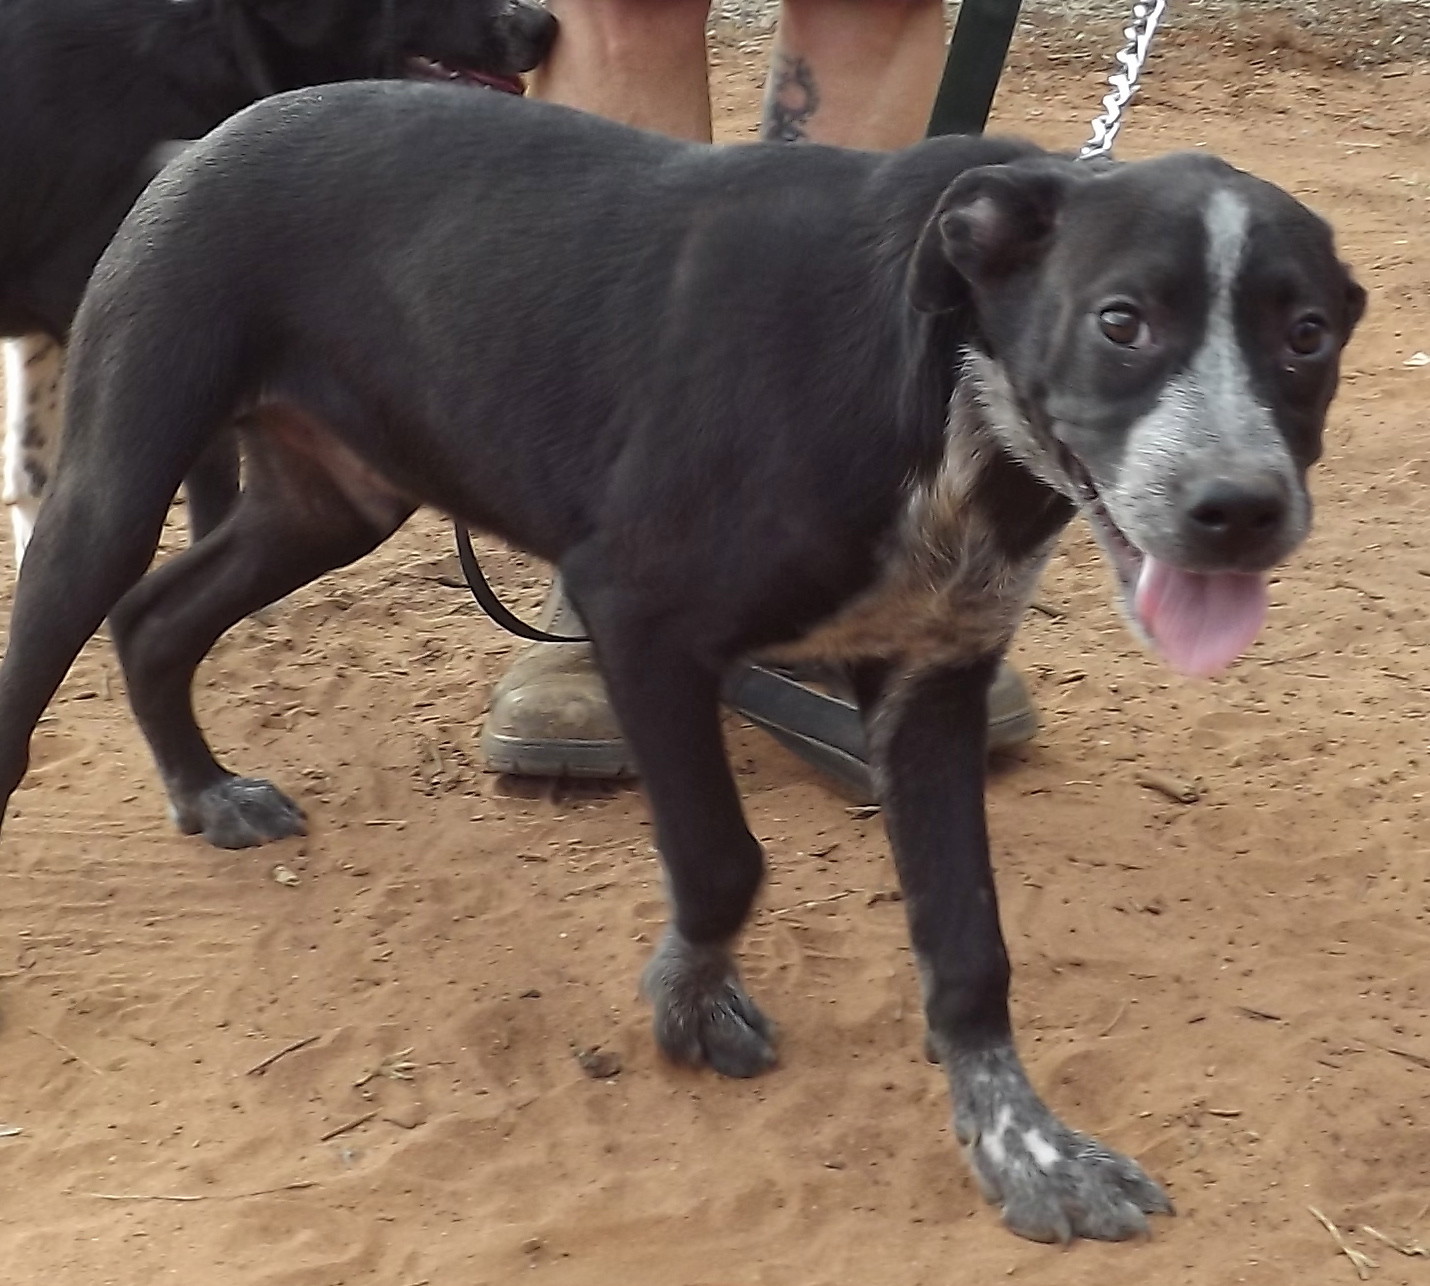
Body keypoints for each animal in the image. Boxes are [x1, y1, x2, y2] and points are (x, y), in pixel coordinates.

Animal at [0, 84, 1364, 1243]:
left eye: (1305, 336)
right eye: (1120, 322)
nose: (1238, 509)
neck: (939, 379)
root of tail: (202, 142)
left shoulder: (934, 679)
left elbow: (970, 943)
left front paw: (1022, 1145)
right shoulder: (638, 615)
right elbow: (722, 858)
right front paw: (688, 1005)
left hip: (331, 502)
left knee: (155, 621)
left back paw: (201, 787)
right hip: (116, 481)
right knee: (53, 651)